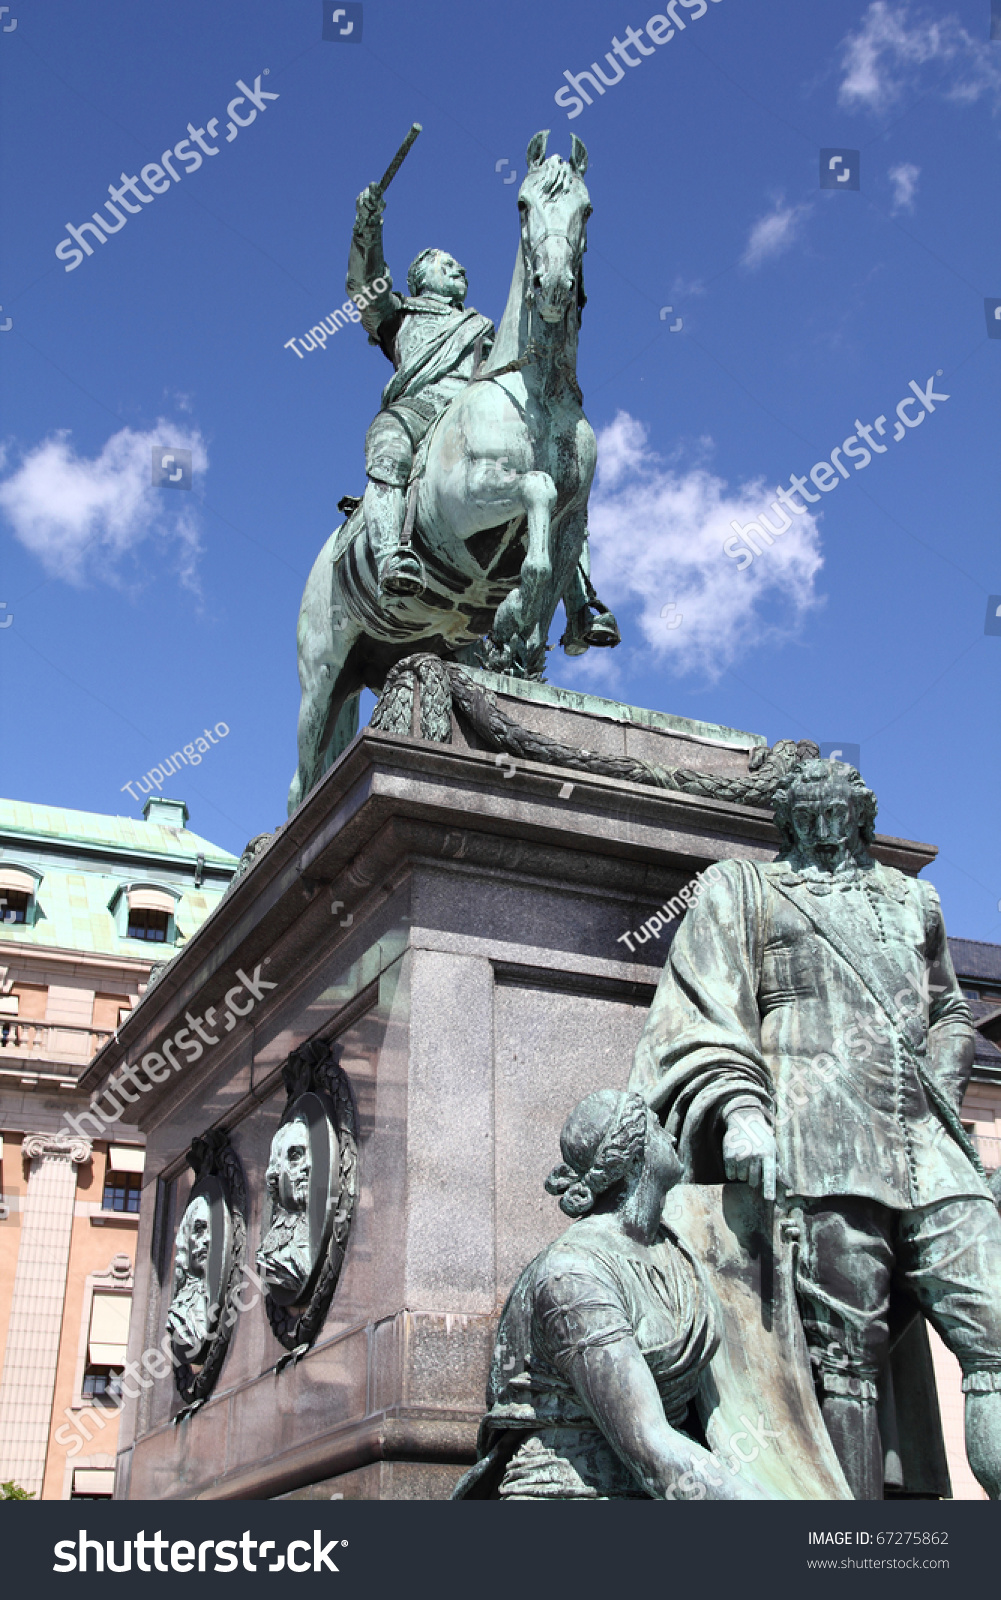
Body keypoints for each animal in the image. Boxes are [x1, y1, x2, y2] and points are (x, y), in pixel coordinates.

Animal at [286, 128, 617, 812]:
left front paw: (526, 642)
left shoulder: (575, 517)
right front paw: (516, 617)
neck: (536, 389)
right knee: (299, 786)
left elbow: (558, 557)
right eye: (523, 204)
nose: (553, 284)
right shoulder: (465, 500)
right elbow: (537, 489)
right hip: (320, 682)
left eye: (587, 208)